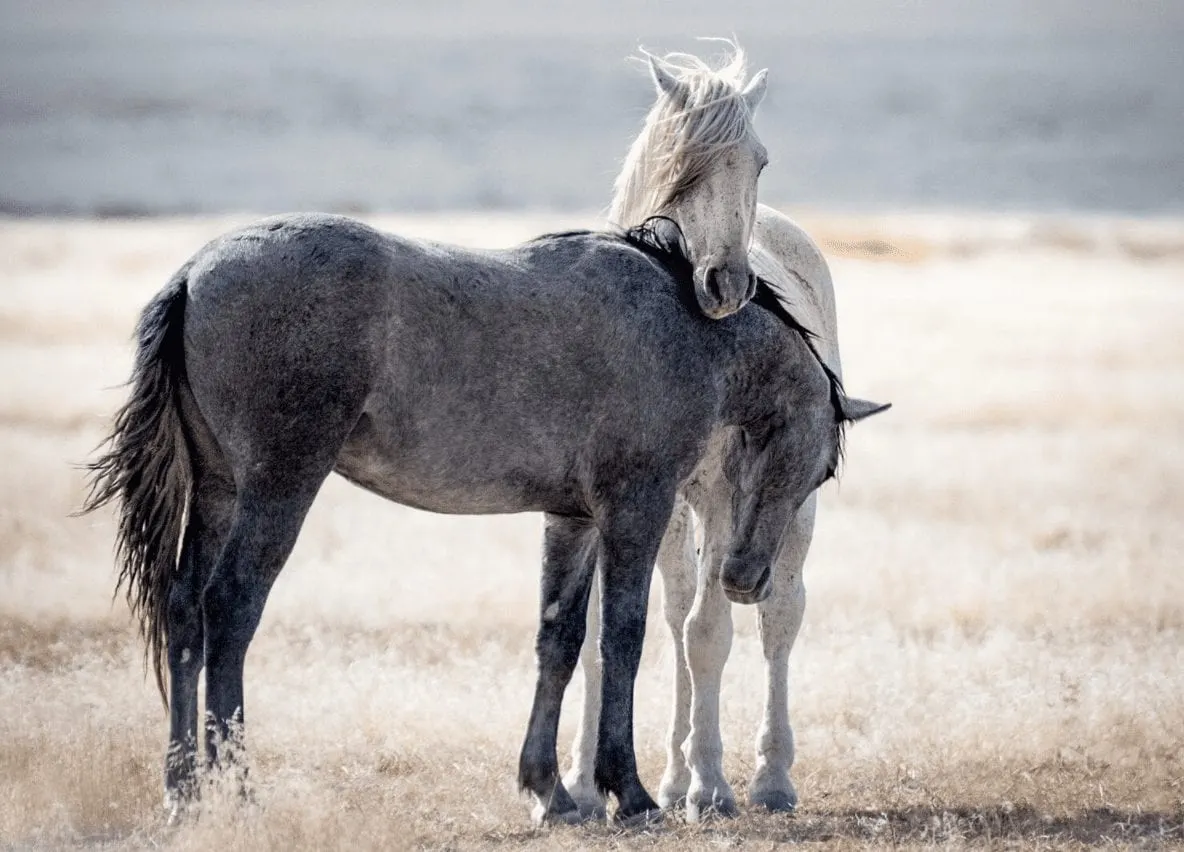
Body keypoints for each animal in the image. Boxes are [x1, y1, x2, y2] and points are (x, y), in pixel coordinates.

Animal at [563, 46, 863, 822]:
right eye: (682, 164)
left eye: (758, 161)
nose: (729, 285)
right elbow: (612, 633)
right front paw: (583, 784)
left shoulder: (730, 497)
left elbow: (711, 633)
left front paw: (711, 785)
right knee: (675, 615)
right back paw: (672, 775)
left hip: (783, 514)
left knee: (776, 615)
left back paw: (767, 777)